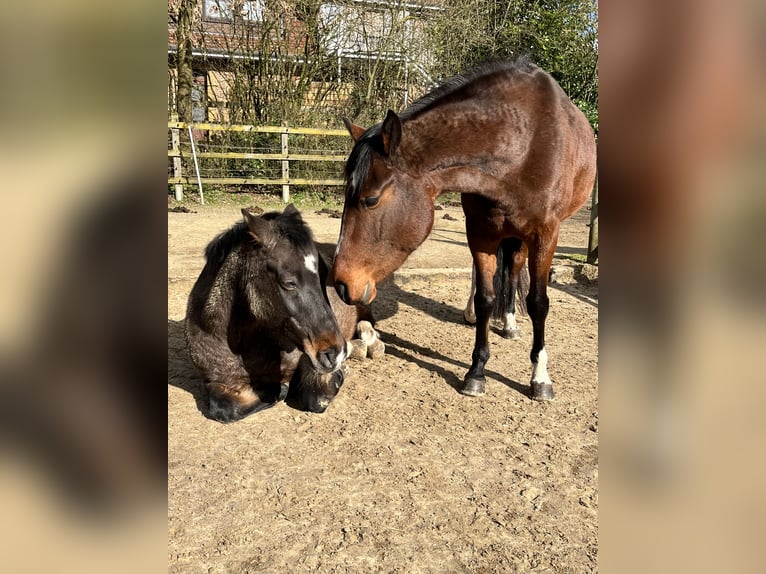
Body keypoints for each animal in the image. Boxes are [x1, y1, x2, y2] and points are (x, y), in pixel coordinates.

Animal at [185, 205, 382, 421]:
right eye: (288, 283)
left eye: (323, 277)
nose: (334, 354)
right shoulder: (214, 381)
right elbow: (225, 408)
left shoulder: (307, 357)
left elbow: (315, 397)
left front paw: (338, 372)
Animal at [331, 58, 597, 400]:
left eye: (370, 199)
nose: (339, 283)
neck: (521, 145)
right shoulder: (480, 232)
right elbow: (486, 297)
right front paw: (476, 371)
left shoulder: (545, 236)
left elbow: (538, 303)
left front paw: (540, 378)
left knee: (514, 269)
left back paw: (510, 323)